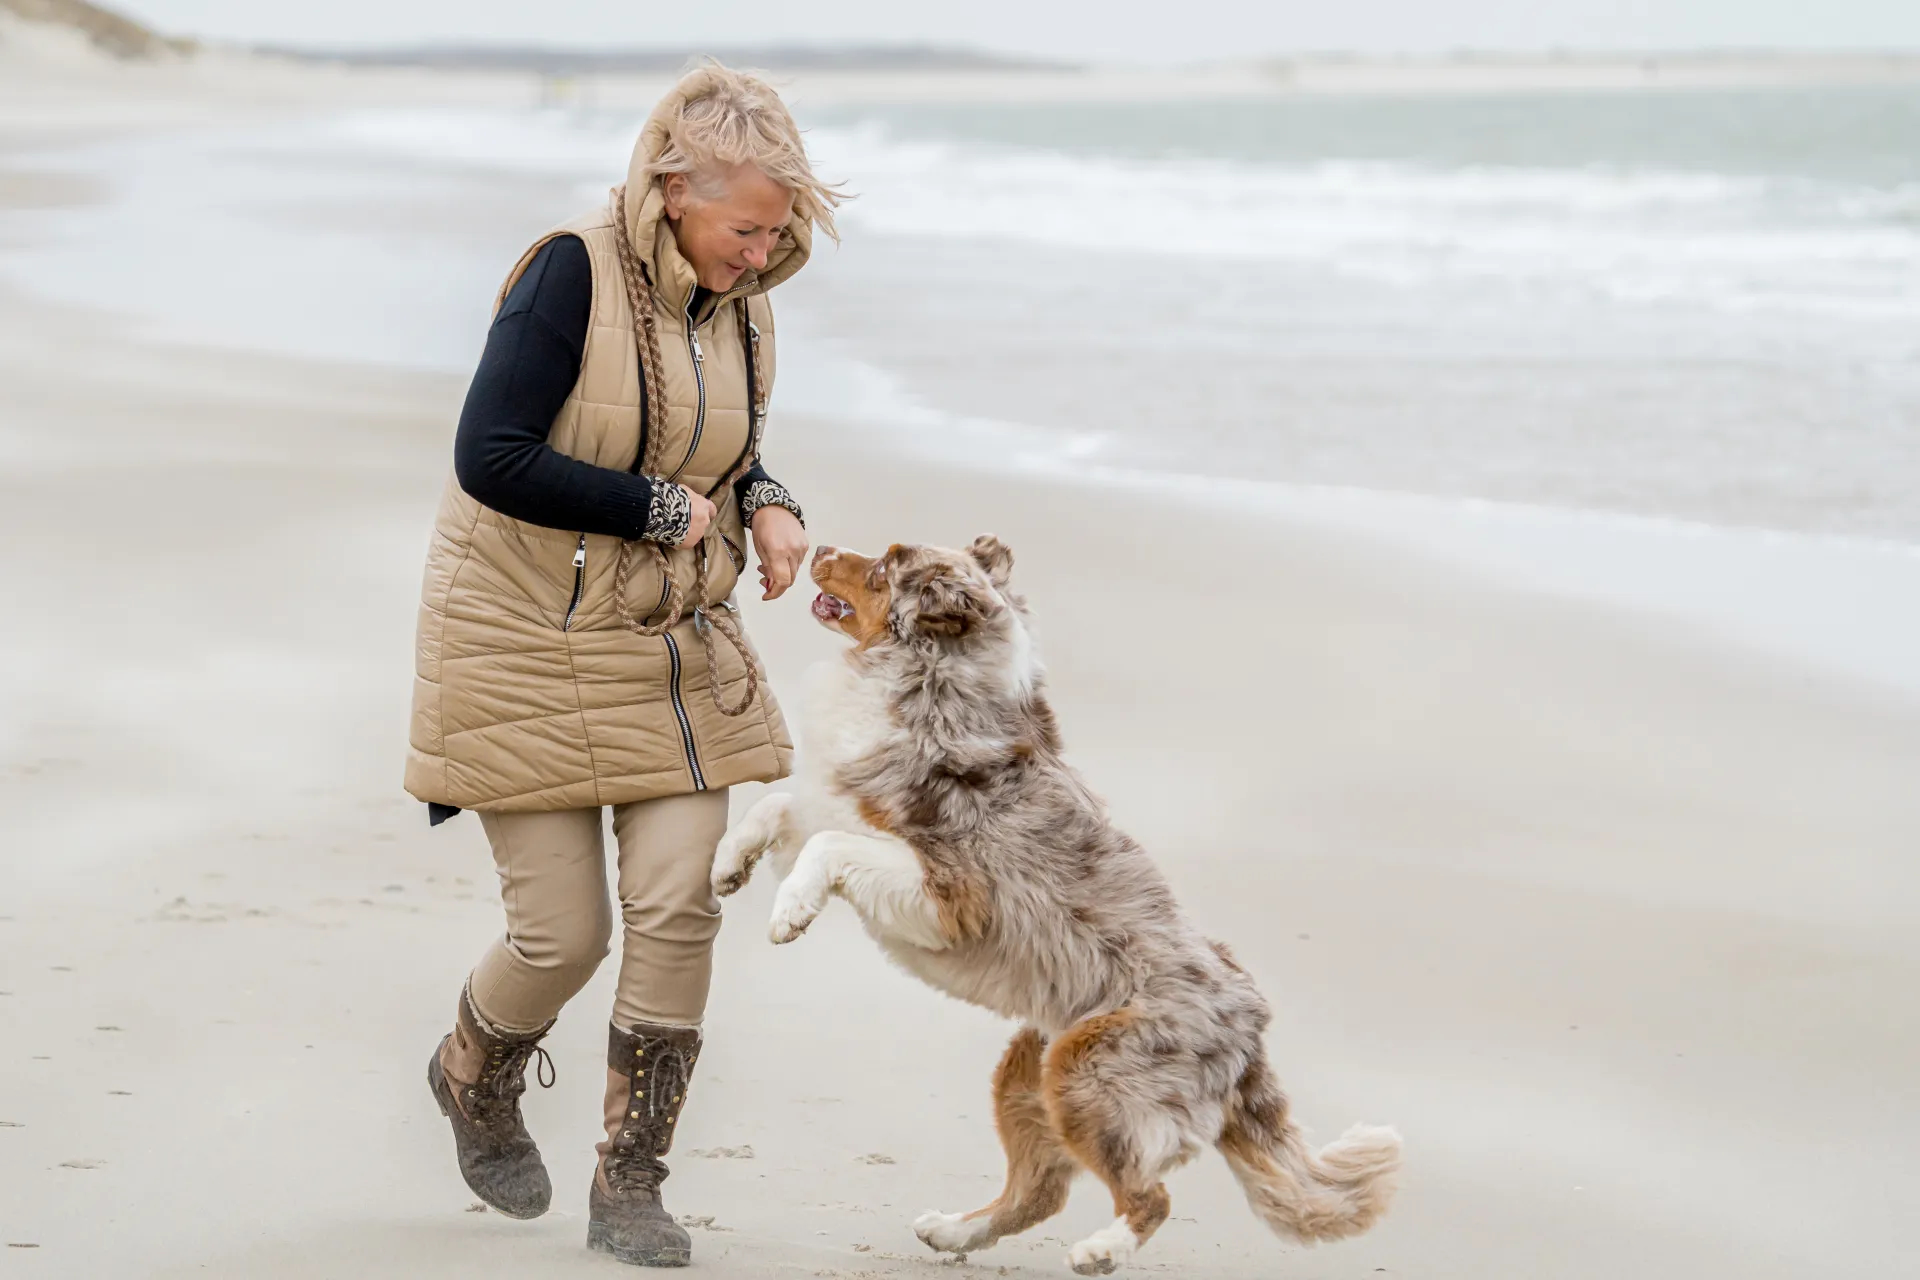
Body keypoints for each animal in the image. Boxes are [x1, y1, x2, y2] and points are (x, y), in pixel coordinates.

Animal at [714, 537, 1405, 1274]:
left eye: (883, 566)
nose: (816, 546)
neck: (931, 687)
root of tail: (1251, 1028)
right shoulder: (836, 807)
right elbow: (779, 807)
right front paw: (727, 866)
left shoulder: (952, 894)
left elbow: (826, 846)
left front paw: (789, 913)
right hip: (1029, 1072)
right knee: (1039, 1190)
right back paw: (953, 1232)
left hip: (1089, 1073)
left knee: (1150, 1196)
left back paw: (1100, 1250)